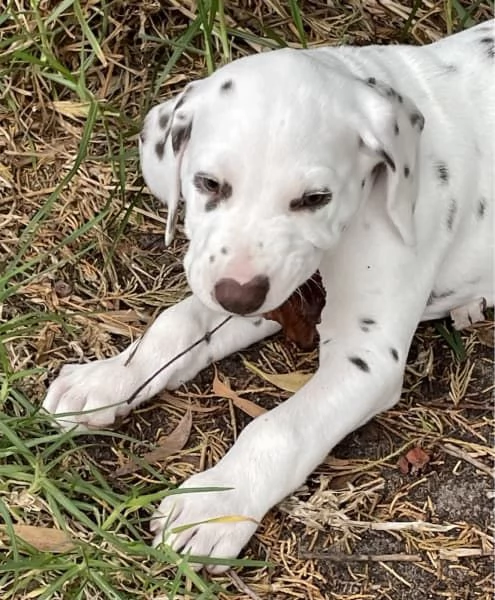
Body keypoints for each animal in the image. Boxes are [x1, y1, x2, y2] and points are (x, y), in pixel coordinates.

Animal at [44, 22, 494, 572]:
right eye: (208, 183)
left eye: (315, 198)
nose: (237, 297)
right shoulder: (273, 291)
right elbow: (177, 325)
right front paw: (107, 378)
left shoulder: (366, 359)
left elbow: (278, 429)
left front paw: (215, 506)